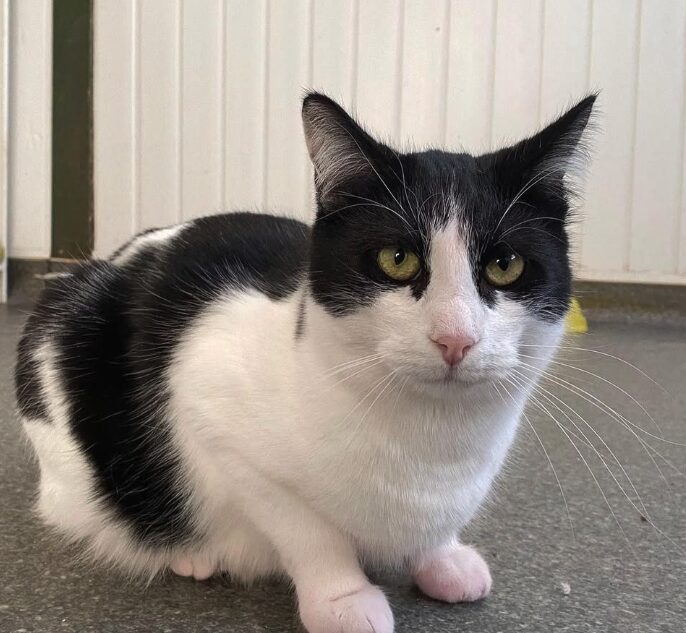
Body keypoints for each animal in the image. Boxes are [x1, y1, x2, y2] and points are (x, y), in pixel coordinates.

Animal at [16, 92, 596, 632]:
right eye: (397, 259)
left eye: (505, 265)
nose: (454, 338)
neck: (431, 444)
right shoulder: (214, 415)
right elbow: (308, 530)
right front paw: (343, 597)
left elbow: (431, 529)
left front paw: (442, 556)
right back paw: (188, 553)